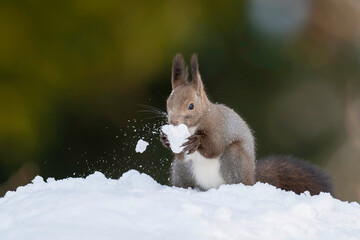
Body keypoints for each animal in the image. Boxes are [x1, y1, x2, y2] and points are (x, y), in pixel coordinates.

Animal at [160, 54, 332, 195]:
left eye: (191, 106)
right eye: (168, 102)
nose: (173, 122)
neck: (193, 125)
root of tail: (252, 180)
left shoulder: (219, 127)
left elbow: (214, 147)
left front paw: (196, 141)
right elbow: (180, 154)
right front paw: (165, 139)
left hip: (234, 158)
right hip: (182, 169)